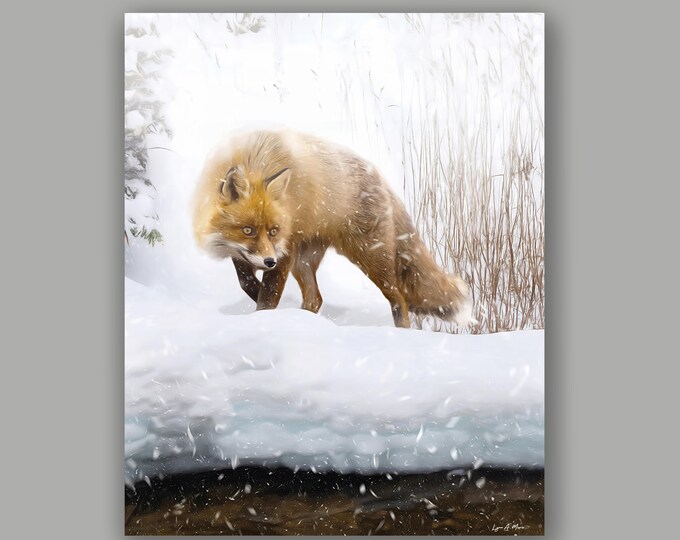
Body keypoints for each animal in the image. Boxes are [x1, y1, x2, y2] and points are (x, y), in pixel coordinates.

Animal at [192, 129, 472, 329]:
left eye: (274, 230)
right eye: (247, 230)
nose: (269, 261)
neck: (256, 159)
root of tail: (378, 176)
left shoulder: (284, 250)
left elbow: (268, 294)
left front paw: (264, 318)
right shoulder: (242, 252)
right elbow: (246, 281)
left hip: (369, 256)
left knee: (399, 298)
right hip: (304, 262)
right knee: (315, 298)